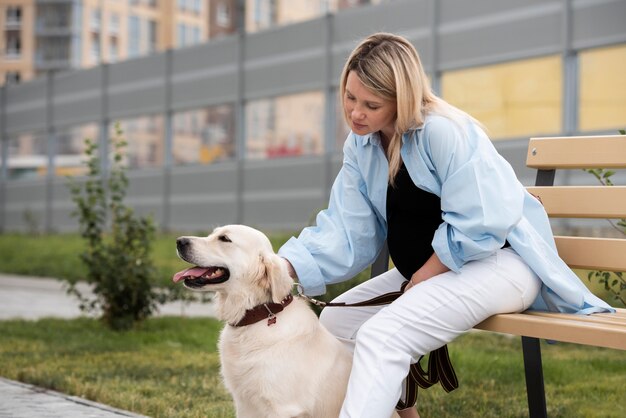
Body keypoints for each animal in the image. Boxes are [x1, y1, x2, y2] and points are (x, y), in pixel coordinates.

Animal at [173, 225, 356, 418]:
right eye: (212, 234)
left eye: (224, 239)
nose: (179, 241)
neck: (258, 317)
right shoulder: (244, 405)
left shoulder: (283, 408)